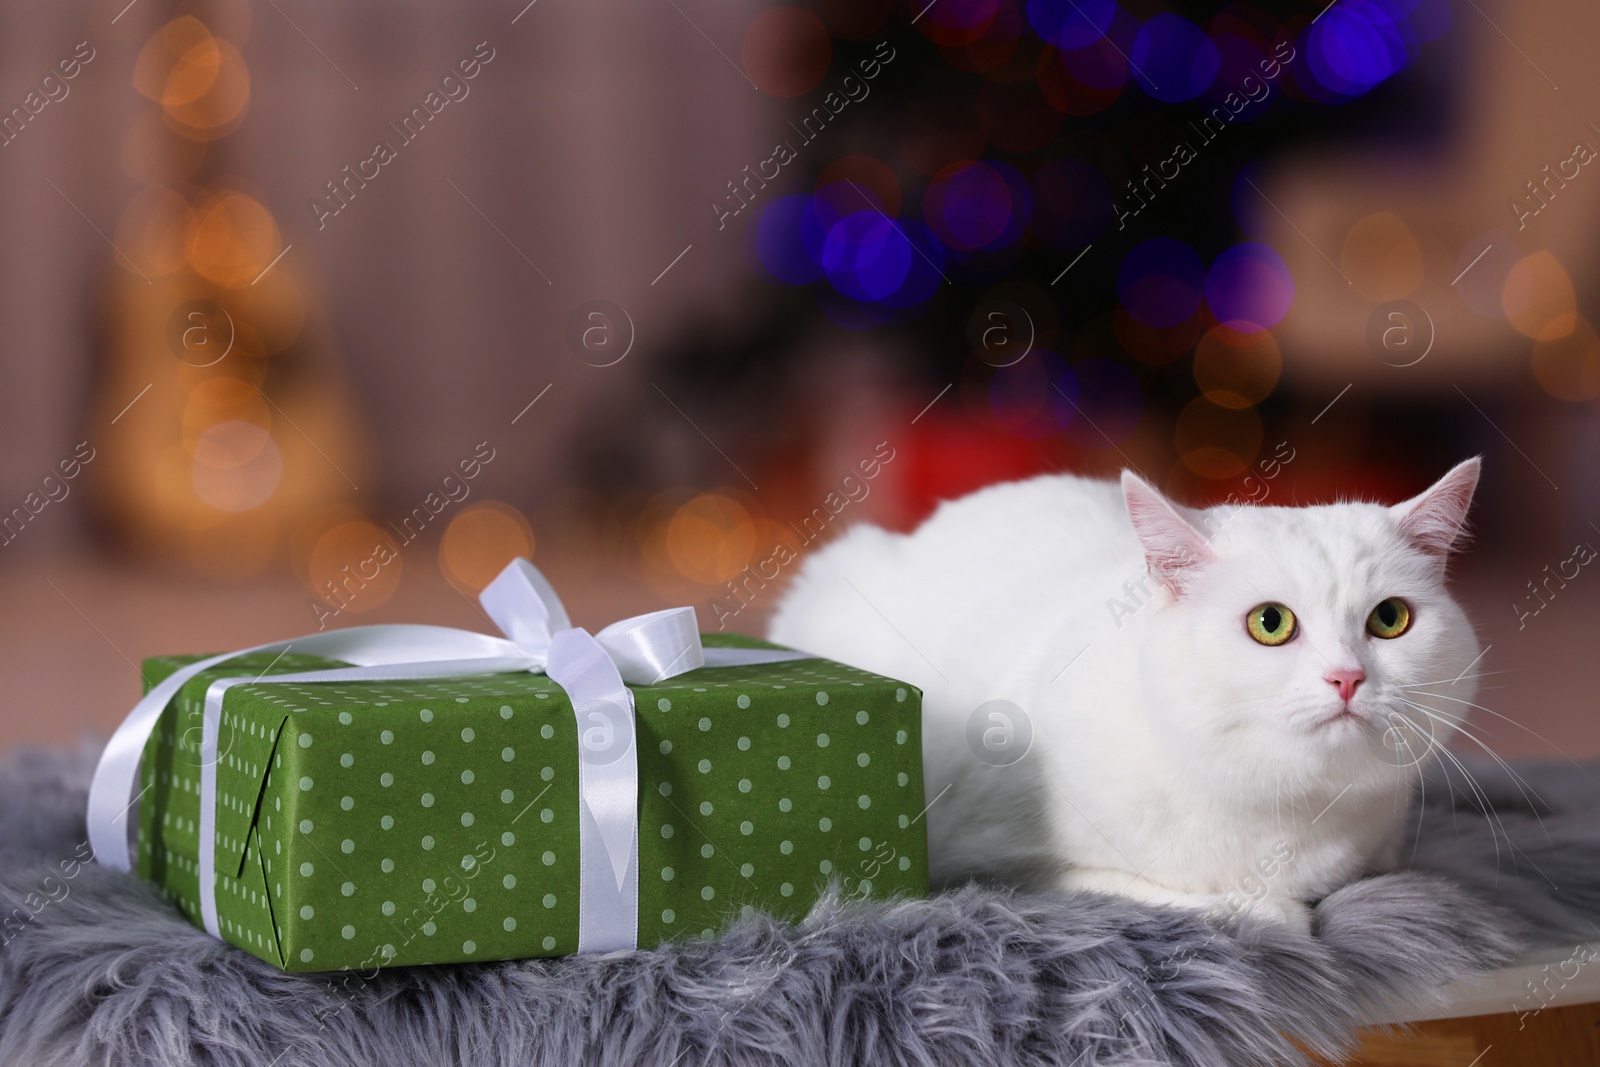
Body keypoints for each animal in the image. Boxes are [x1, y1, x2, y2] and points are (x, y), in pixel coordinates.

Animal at [768, 463, 1478, 927]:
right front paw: (1271, 913)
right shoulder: (982, 860)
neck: (1279, 809)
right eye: (1271, 623)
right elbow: (1155, 891)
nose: (1347, 677)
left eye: (1389, 619)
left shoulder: (1378, 850)